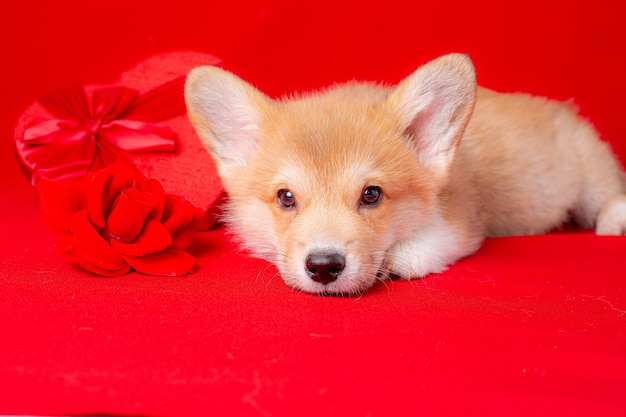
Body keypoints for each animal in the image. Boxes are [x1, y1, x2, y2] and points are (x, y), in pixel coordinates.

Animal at [184, 53, 624, 294]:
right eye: (285, 197)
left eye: (372, 194)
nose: (324, 266)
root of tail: (564, 109)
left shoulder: (463, 219)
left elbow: (424, 243)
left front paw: (397, 258)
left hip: (590, 173)